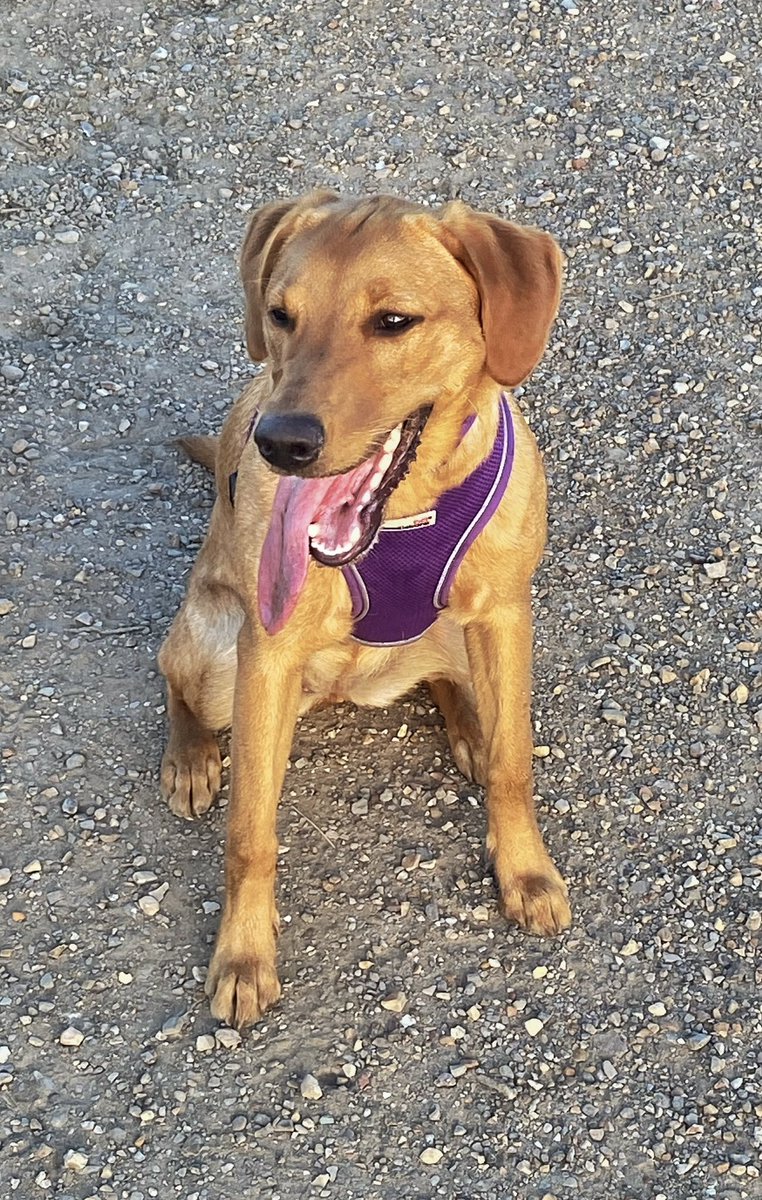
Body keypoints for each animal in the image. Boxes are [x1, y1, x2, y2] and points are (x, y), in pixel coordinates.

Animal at [158, 192, 568, 1027]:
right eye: (281, 315)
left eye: (393, 322)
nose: (280, 442)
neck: (403, 512)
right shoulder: (266, 654)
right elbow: (250, 833)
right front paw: (243, 954)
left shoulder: (506, 615)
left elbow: (514, 764)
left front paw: (526, 872)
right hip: (217, 653)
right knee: (170, 672)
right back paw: (190, 757)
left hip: (457, 636)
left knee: (451, 686)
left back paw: (471, 725)